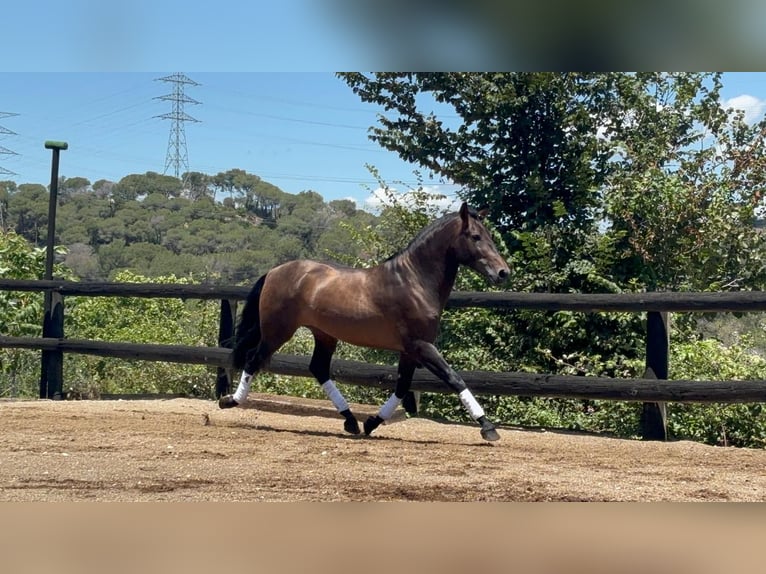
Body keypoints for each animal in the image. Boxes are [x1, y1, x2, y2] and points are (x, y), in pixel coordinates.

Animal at [220, 205, 510, 444]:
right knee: (253, 360)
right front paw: (488, 428)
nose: (503, 272)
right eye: (475, 236)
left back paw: (350, 421)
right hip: (277, 332)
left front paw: (371, 423)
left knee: (318, 369)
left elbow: (402, 387)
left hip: (324, 334)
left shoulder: (409, 350)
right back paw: (230, 401)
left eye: (489, 236)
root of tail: (274, 271)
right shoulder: (422, 346)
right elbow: (454, 378)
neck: (414, 280)